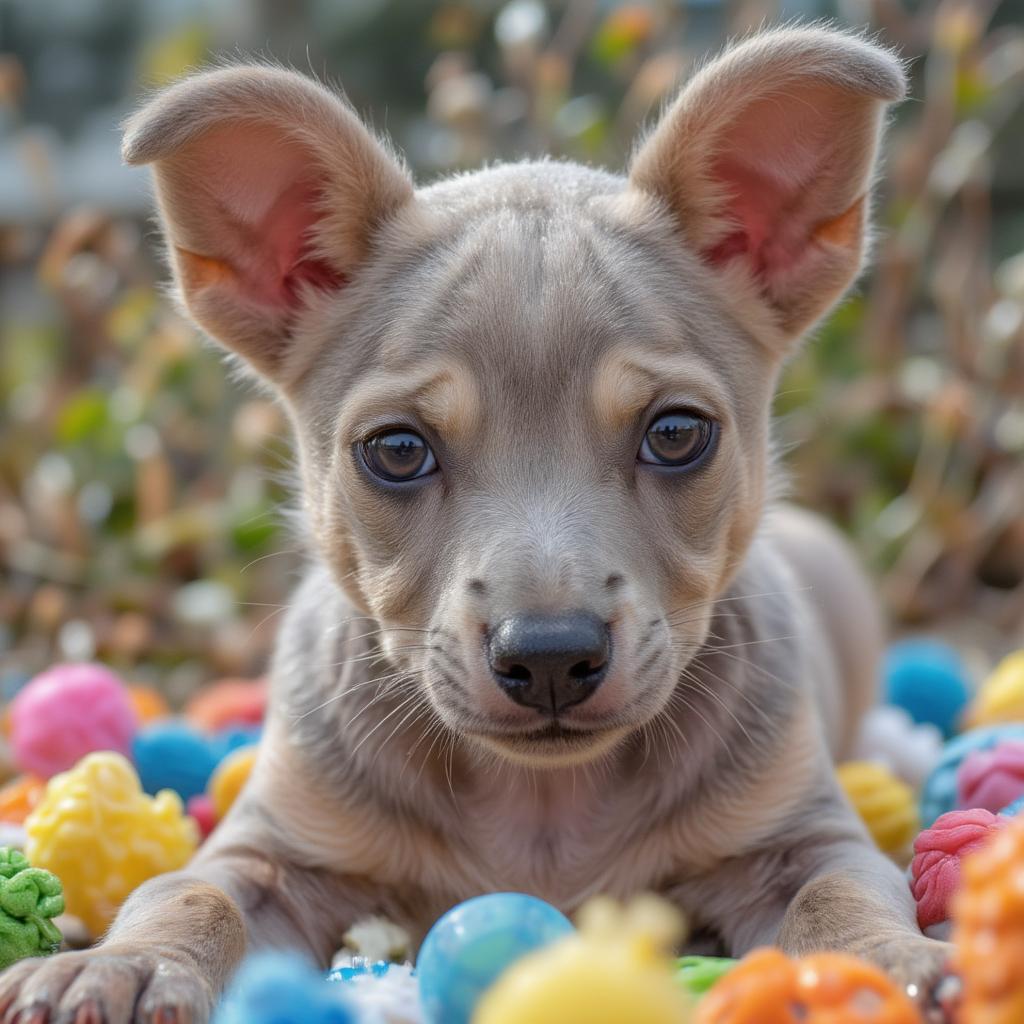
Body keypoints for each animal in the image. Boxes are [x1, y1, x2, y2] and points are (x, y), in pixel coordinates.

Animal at [0, 24, 950, 1024]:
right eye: (396, 450)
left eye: (677, 433)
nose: (551, 658)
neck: (541, 805)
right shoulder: (271, 851)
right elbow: (187, 891)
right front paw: (123, 963)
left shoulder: (803, 839)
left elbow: (838, 896)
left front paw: (891, 963)